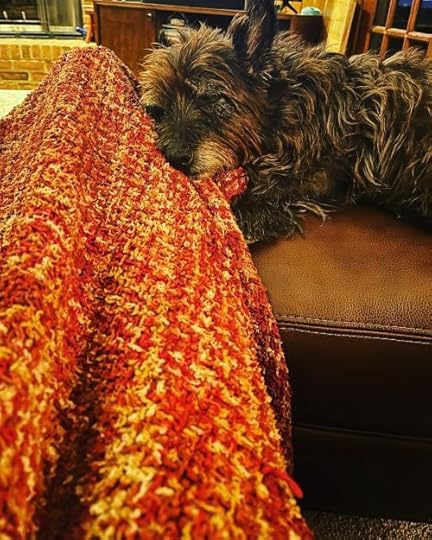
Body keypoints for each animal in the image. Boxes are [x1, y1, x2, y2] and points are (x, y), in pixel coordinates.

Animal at [140, 0, 432, 243]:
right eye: (158, 110)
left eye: (210, 96)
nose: (175, 156)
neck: (287, 105)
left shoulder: (331, 170)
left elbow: (280, 185)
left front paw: (249, 214)